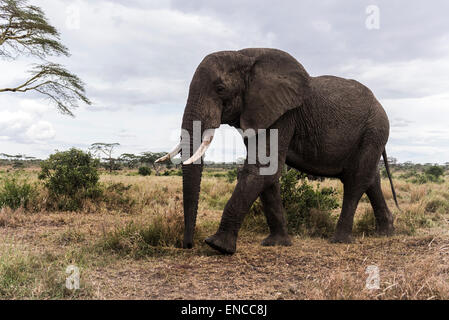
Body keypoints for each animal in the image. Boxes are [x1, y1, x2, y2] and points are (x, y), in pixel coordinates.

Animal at [156, 47, 398, 255]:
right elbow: (267, 171)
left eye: (220, 89)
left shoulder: (283, 114)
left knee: (356, 180)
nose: (188, 245)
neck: (244, 55)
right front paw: (276, 244)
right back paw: (386, 233)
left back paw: (340, 240)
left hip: (375, 129)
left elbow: (262, 168)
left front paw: (218, 246)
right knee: (370, 179)